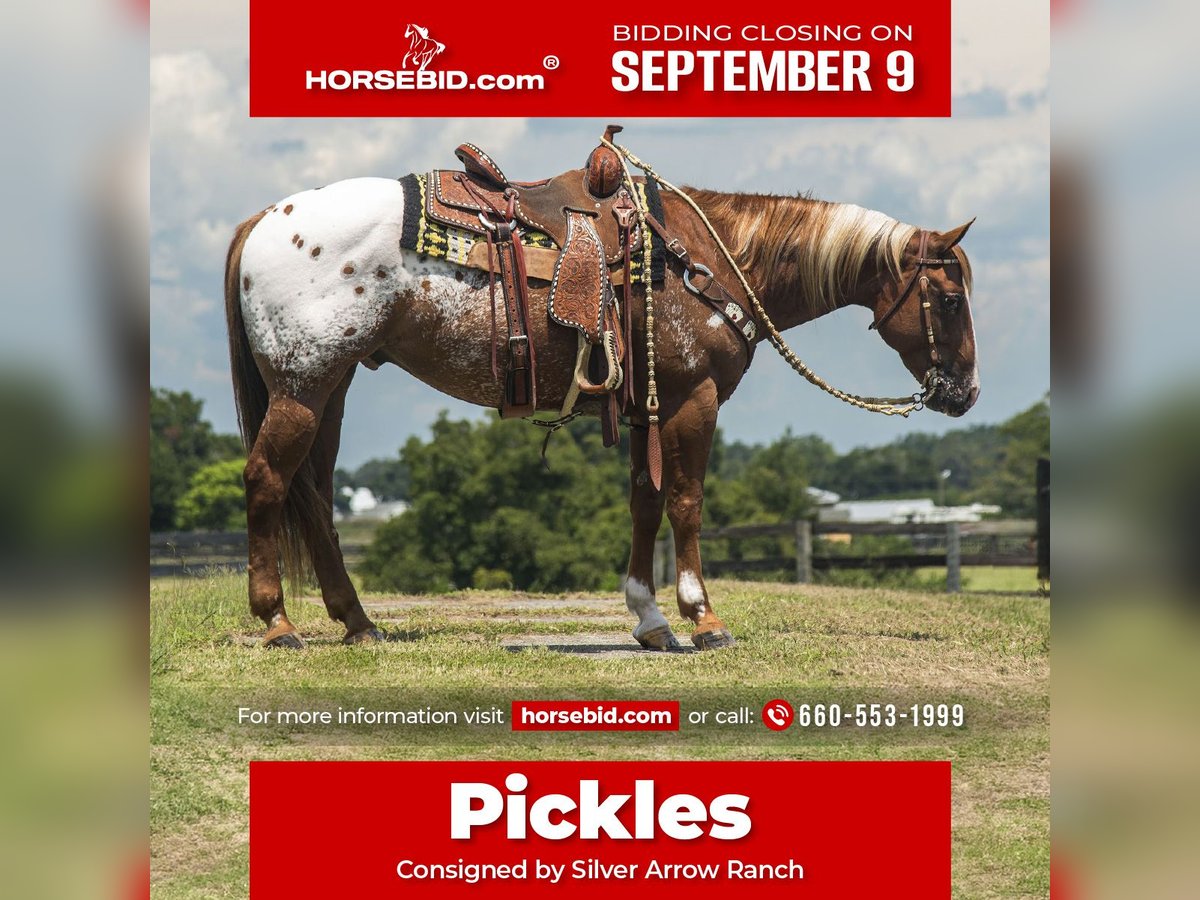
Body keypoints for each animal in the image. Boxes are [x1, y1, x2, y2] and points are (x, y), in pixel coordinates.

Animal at [223, 141, 974, 652]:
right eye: (949, 297)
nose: (964, 392)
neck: (710, 258)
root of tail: (264, 219)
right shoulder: (693, 399)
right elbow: (686, 502)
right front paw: (703, 617)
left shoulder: (646, 407)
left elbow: (645, 503)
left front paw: (650, 620)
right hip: (304, 384)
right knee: (267, 480)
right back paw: (278, 622)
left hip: (331, 386)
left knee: (315, 497)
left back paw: (358, 622)